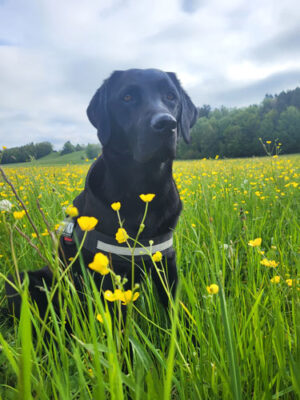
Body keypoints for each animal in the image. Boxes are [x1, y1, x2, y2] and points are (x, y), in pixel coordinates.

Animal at [5, 67, 198, 320]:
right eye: (127, 97)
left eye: (171, 97)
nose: (166, 123)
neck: (141, 190)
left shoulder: (165, 260)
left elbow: (176, 312)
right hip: (21, 280)